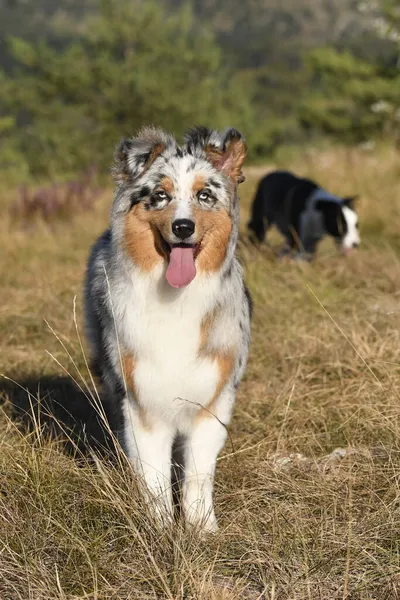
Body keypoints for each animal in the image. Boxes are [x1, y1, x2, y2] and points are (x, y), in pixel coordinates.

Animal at [84, 125, 252, 528]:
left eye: (205, 195)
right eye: (160, 196)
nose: (183, 226)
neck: (176, 299)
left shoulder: (213, 401)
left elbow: (198, 475)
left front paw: (201, 530)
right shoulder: (142, 404)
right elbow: (154, 478)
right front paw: (159, 530)